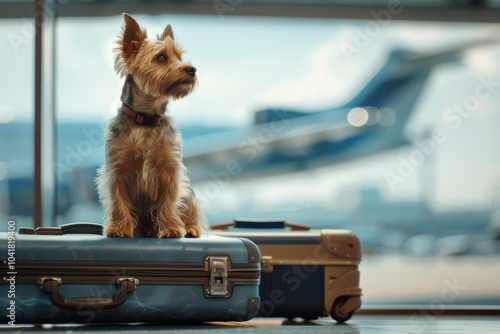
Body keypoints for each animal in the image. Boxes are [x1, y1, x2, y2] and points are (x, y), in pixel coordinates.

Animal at [96, 13, 208, 237]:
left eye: (179, 57)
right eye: (161, 58)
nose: (192, 69)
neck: (146, 119)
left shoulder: (170, 169)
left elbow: (169, 200)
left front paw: (171, 227)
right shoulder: (117, 170)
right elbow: (119, 201)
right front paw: (119, 228)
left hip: (189, 193)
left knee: (191, 209)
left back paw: (190, 227)